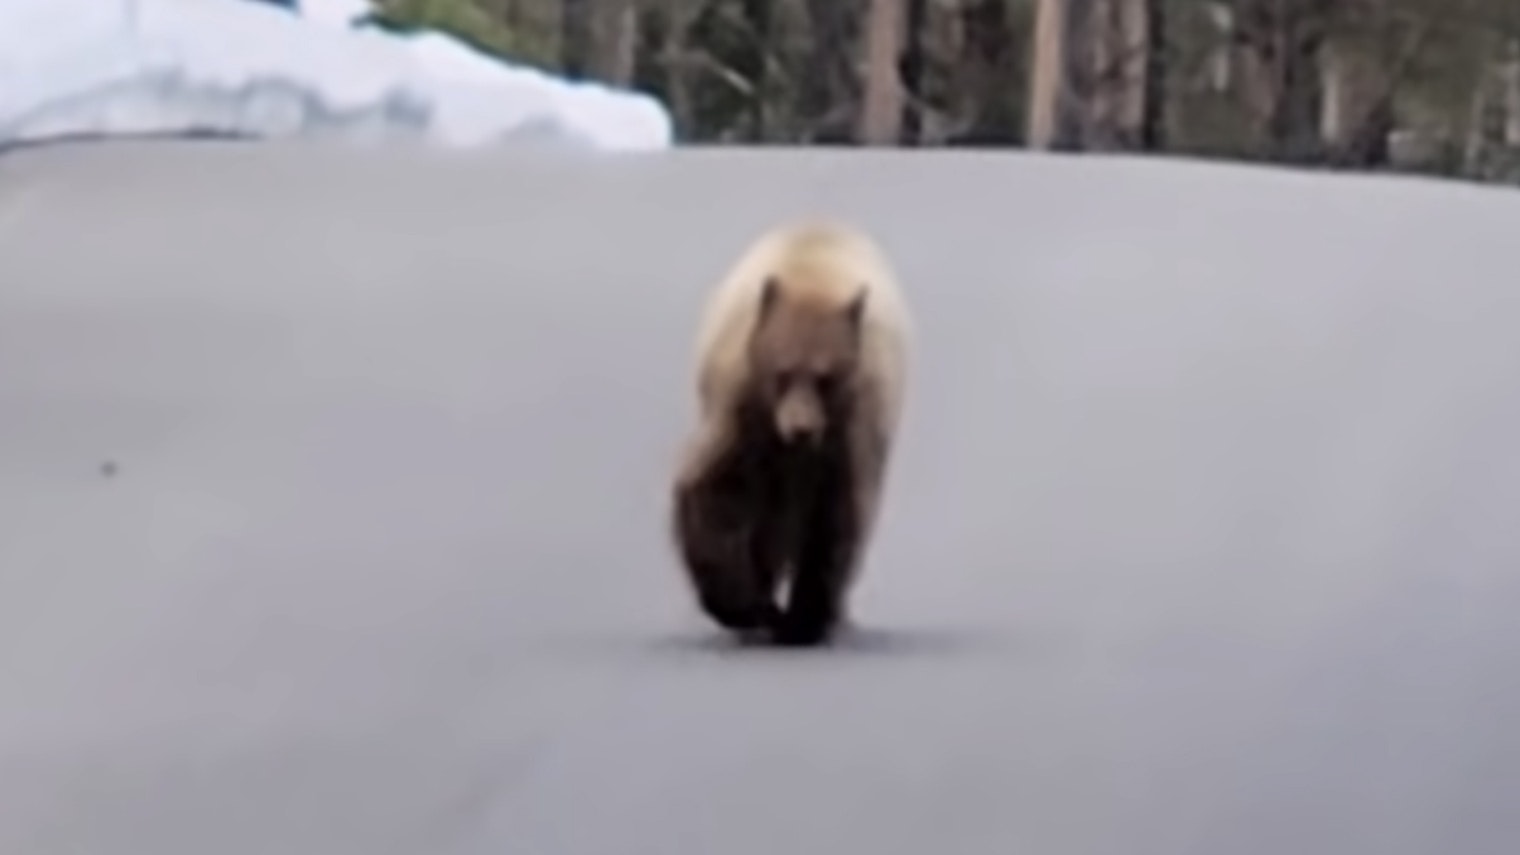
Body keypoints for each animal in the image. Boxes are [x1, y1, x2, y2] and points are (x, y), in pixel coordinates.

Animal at [669, 219, 912, 647]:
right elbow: (712, 489)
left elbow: (835, 518)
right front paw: (746, 605)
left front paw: (802, 619)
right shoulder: (742, 409)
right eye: (783, 372)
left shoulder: (850, 429)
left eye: (826, 378)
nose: (800, 428)